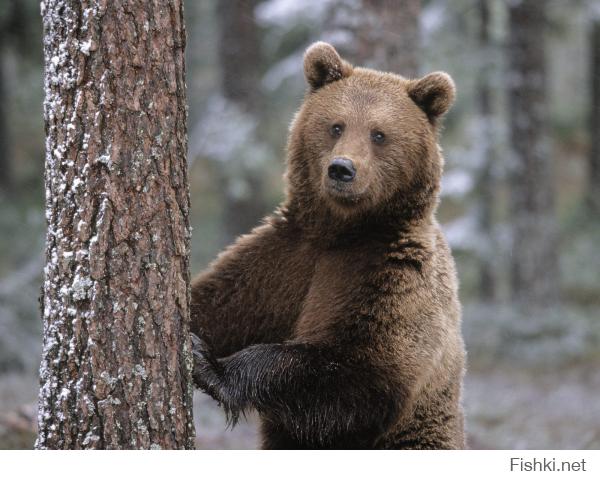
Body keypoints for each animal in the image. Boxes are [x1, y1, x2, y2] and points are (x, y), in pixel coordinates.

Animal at [190, 42, 466, 450]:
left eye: (379, 134)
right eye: (336, 125)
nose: (342, 169)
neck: (343, 231)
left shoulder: (390, 276)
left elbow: (357, 371)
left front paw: (211, 366)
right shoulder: (283, 260)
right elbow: (218, 303)